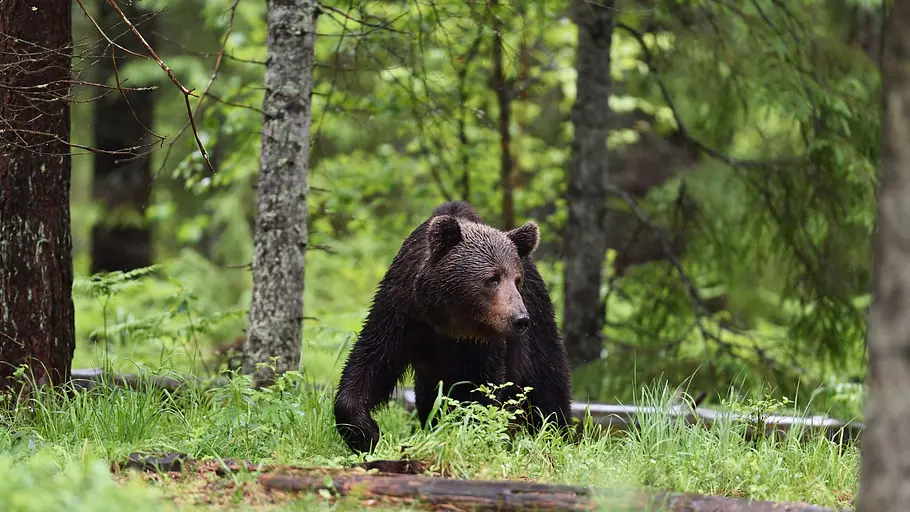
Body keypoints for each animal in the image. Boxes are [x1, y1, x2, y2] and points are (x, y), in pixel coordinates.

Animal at [333, 200, 572, 454]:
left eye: (517, 280)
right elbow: (371, 361)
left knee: (549, 386)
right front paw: (367, 433)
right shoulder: (401, 312)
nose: (519, 318)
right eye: (492, 278)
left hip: (539, 326)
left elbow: (482, 391)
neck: (447, 321)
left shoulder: (485, 344)